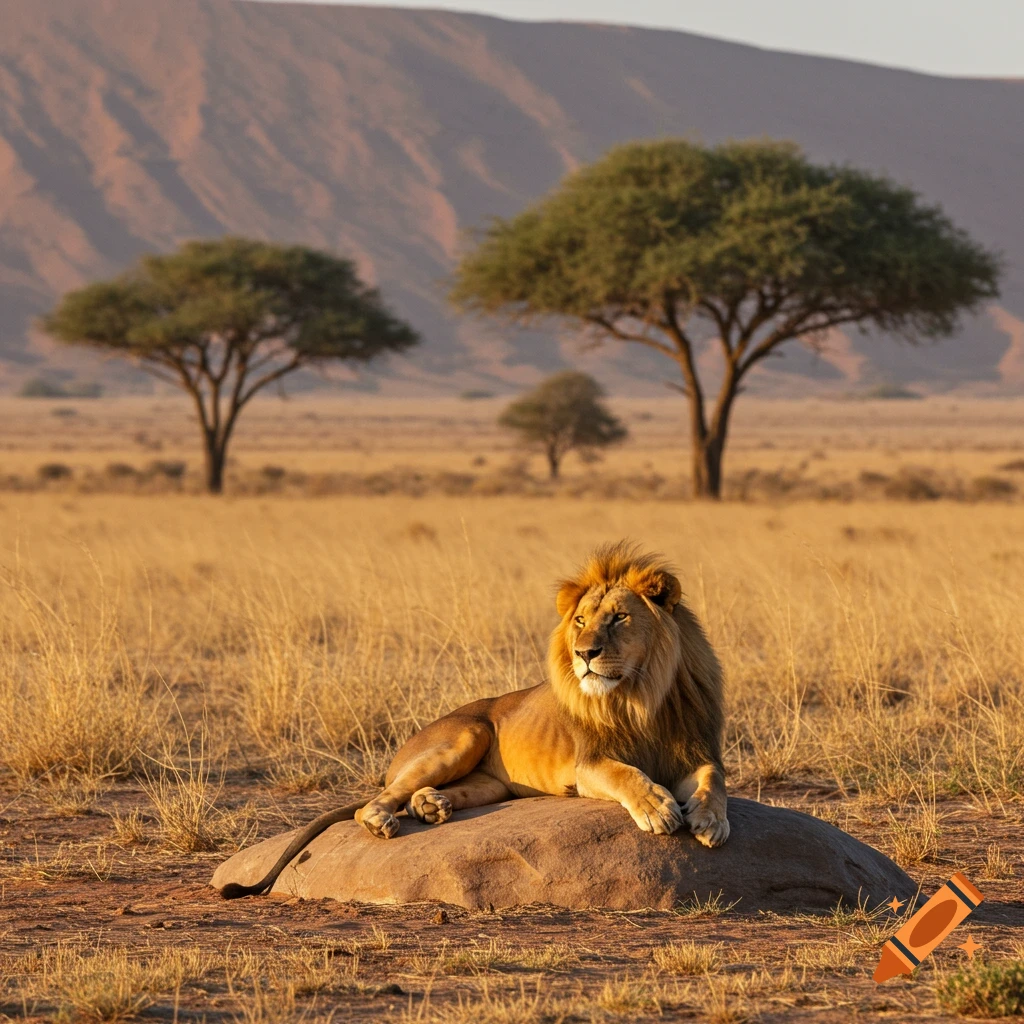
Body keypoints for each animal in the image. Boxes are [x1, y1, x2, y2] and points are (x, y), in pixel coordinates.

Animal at [220, 542, 729, 899]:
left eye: (620, 617)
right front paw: (658, 807)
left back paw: (431, 806)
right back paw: (386, 819)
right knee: (377, 801)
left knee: (431, 794)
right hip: (467, 733)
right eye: (581, 621)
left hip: (491, 785)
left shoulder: (694, 750)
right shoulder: (589, 765)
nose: (585, 654)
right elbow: (628, 774)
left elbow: (714, 781)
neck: (640, 697)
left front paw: (710, 819)